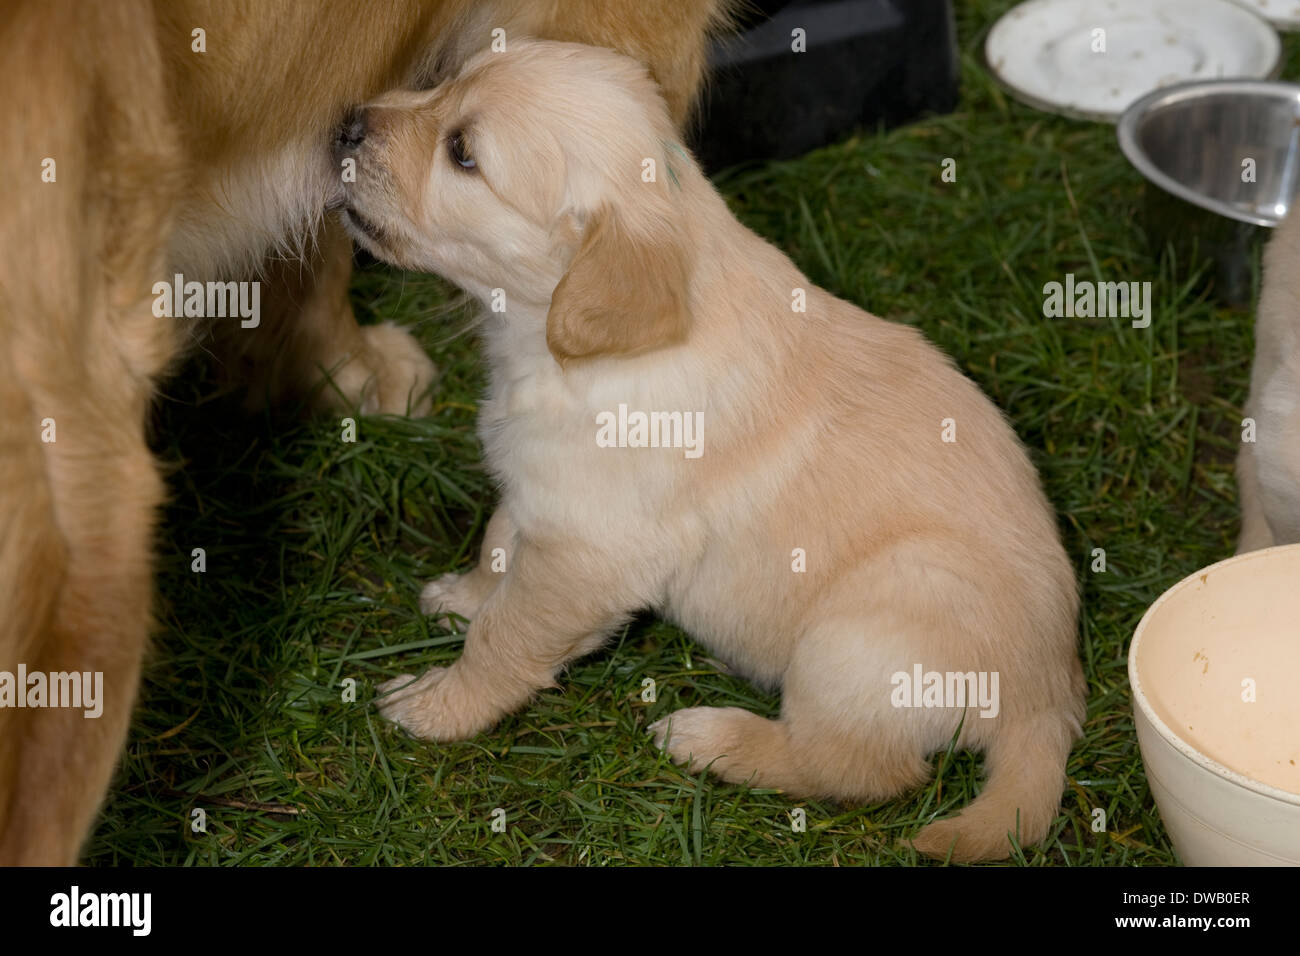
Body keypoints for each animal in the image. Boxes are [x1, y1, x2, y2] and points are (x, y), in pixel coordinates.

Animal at [338, 39, 1086, 868]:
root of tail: (1050, 700)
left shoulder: (589, 553)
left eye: (462, 153)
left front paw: (439, 704)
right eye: (444, 83)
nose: (344, 125)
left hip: (860, 630)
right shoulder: (542, 492)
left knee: (859, 770)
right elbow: (500, 543)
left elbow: (507, 637)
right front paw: (465, 596)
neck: (552, 342)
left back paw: (711, 738)